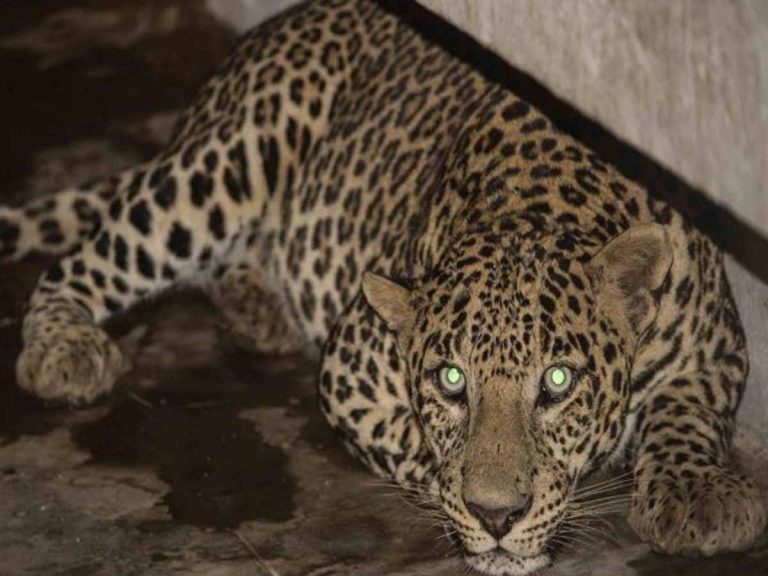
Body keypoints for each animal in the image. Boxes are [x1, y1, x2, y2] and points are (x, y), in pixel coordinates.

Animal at [0, 0, 765, 574]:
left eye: (557, 381)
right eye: (451, 380)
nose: (496, 515)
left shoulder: (718, 349)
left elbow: (688, 417)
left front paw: (697, 494)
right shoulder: (348, 369)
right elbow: (422, 447)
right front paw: (472, 503)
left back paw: (257, 309)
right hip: (229, 160)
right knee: (86, 257)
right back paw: (65, 349)